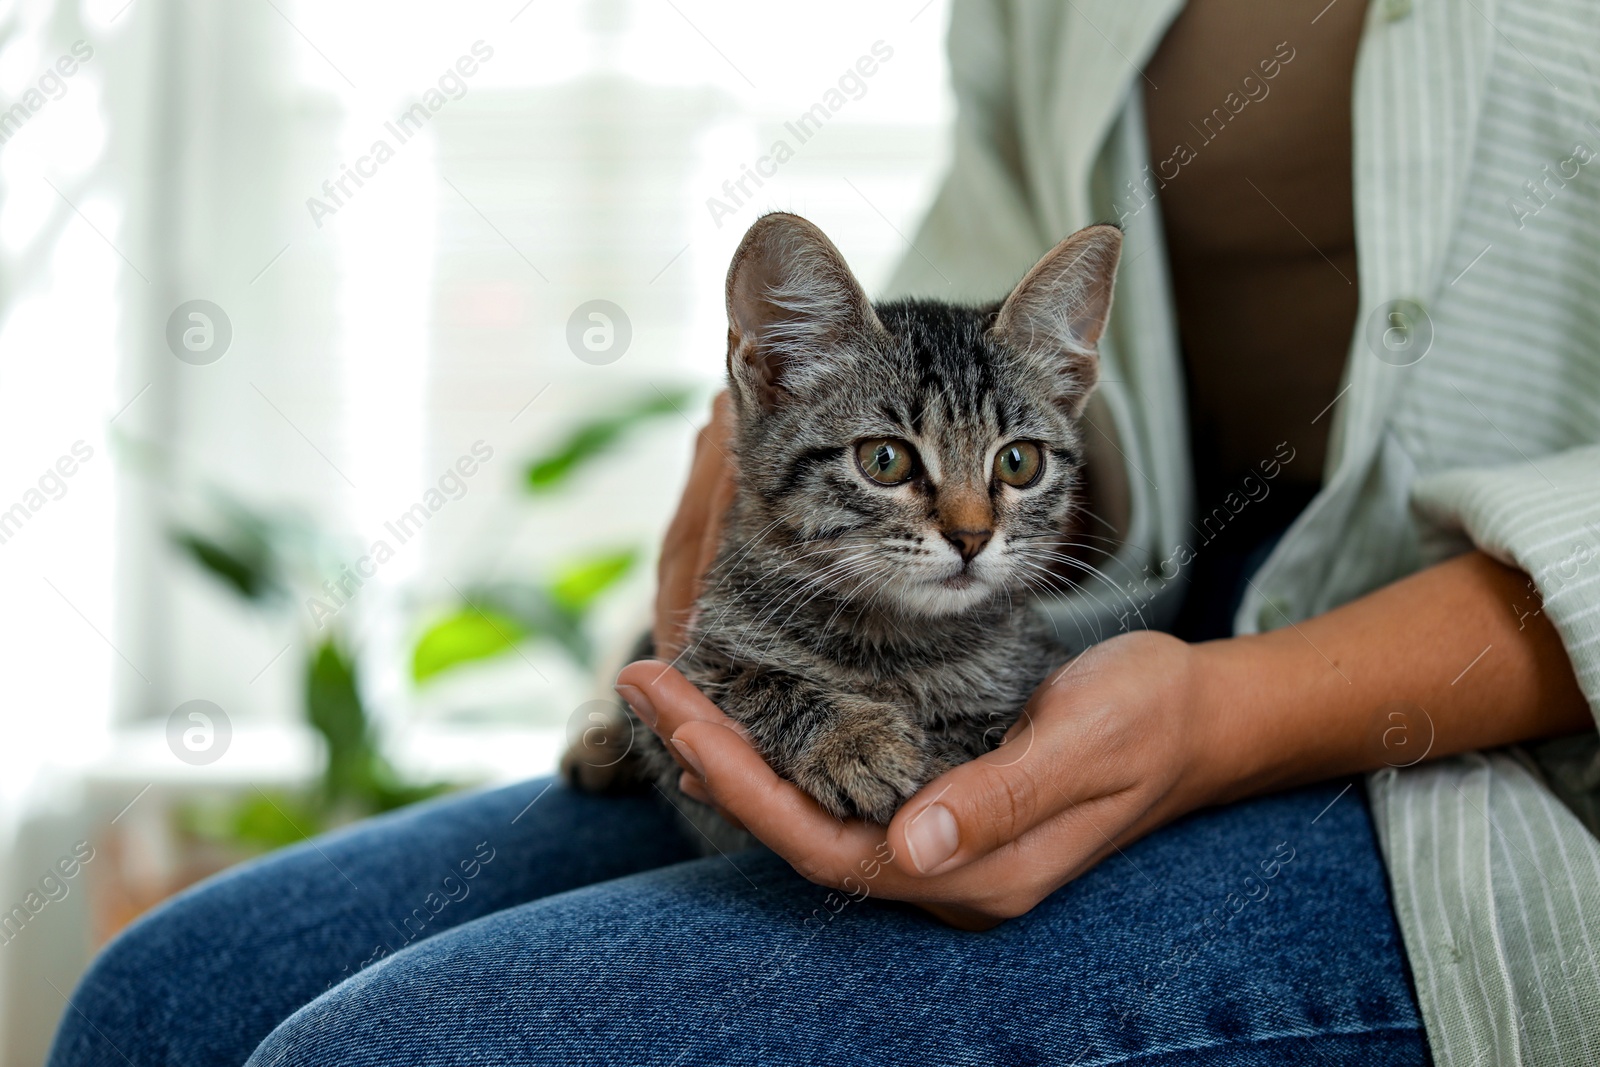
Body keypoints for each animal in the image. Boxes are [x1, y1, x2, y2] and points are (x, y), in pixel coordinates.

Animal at [569, 212, 1120, 844]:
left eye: (1018, 462)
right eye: (885, 459)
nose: (972, 537)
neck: (895, 643)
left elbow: (986, 730)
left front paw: (939, 750)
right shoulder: (690, 667)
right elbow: (752, 679)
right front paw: (853, 741)